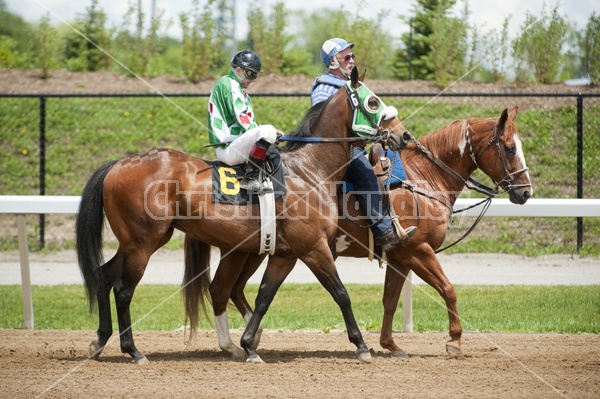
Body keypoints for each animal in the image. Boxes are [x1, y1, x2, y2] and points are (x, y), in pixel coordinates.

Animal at [75, 67, 410, 364]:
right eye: (373, 101)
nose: (403, 135)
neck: (310, 170)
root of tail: (119, 164)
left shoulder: (284, 255)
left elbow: (263, 297)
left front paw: (249, 345)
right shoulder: (313, 249)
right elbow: (341, 293)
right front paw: (361, 345)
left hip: (138, 243)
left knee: (105, 276)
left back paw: (99, 341)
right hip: (143, 243)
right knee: (123, 290)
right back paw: (133, 351)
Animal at [185, 106, 532, 360]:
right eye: (509, 147)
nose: (525, 191)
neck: (422, 179)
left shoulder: (399, 257)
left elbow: (390, 299)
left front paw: (390, 344)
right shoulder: (417, 250)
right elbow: (448, 289)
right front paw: (455, 342)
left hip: (256, 251)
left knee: (231, 289)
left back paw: (246, 339)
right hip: (247, 251)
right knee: (223, 289)